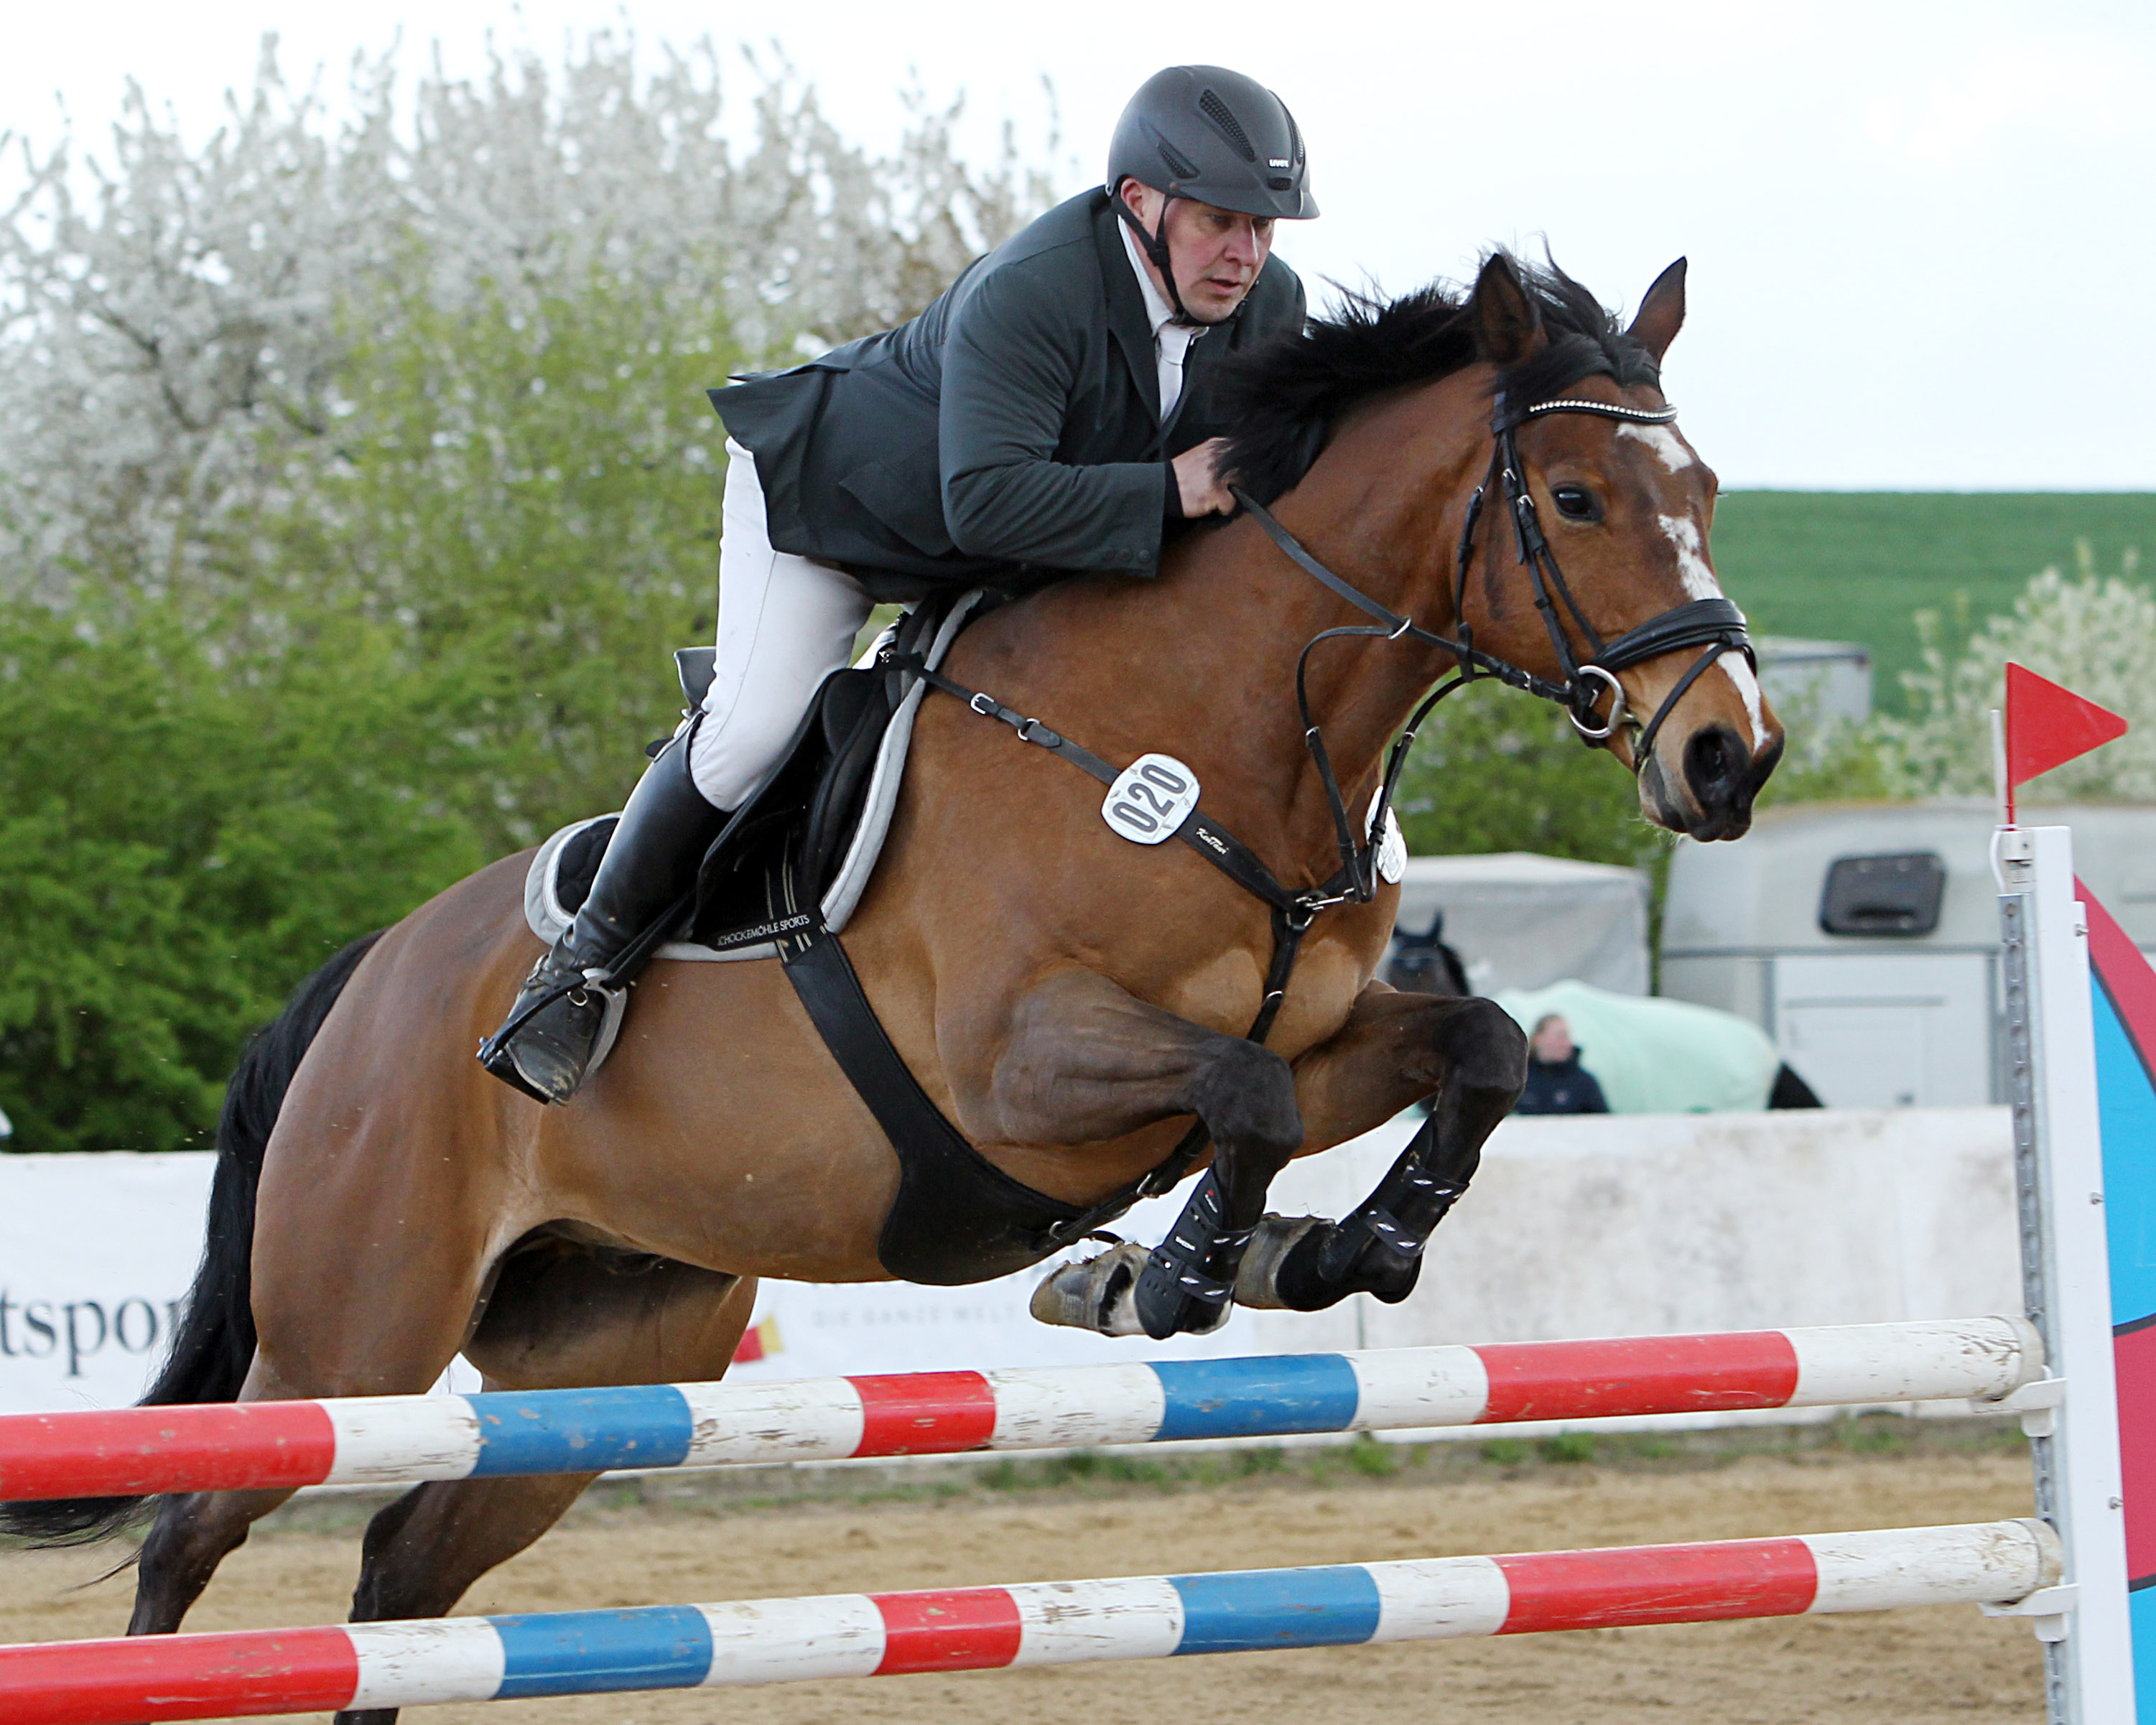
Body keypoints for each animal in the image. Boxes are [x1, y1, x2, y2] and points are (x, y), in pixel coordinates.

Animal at [4, 248, 1785, 1716]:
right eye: (1573, 498)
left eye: (1706, 485)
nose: (1731, 756)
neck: (1236, 725)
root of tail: (366, 978)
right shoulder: (1018, 1071)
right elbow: (1244, 1097)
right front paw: (1171, 1274)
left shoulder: (1333, 1027)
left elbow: (1471, 1047)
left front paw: (1347, 1245)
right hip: (352, 1336)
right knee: (190, 1532)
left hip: (603, 1354)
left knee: (404, 1572)